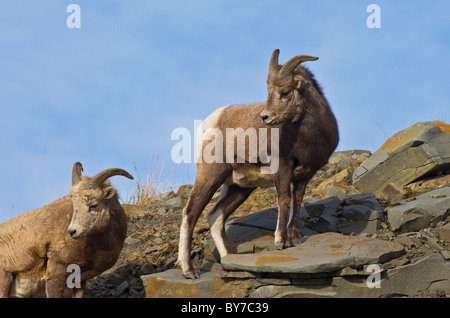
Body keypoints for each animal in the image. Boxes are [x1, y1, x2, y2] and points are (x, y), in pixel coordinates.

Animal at [178, 49, 340, 278]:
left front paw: (295, 238)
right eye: (269, 92)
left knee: (216, 215)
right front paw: (281, 241)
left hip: (239, 187)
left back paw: (229, 259)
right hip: (211, 175)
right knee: (190, 213)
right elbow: (284, 201)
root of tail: (210, 122)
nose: (265, 117)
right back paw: (189, 271)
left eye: (284, 92)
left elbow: (297, 201)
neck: (308, 137)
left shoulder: (305, 175)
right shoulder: (283, 169)